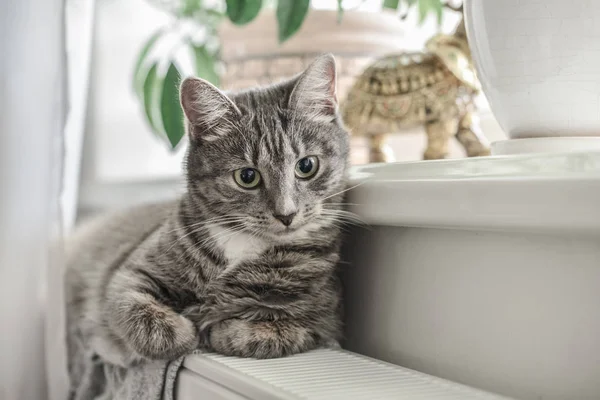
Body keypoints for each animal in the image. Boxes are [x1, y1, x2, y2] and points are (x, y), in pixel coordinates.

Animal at [65, 54, 350, 374]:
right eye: (247, 176)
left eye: (307, 166)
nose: (286, 214)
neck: (242, 244)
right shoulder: (128, 273)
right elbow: (135, 310)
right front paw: (185, 332)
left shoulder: (327, 319)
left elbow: (272, 332)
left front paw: (216, 327)